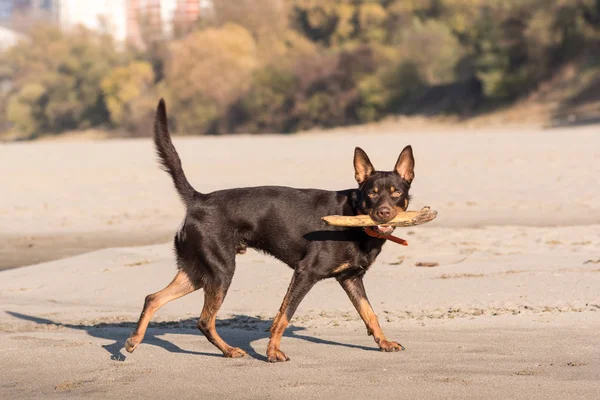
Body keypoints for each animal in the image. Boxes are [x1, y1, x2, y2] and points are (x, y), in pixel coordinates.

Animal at [124, 99, 414, 362]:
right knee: (204, 320)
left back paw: (134, 340)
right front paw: (272, 352)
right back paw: (229, 350)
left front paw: (385, 343)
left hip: (197, 272)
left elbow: (370, 313)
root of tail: (199, 199)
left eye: (396, 193)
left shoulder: (351, 279)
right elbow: (284, 315)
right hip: (220, 271)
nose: (383, 213)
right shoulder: (305, 273)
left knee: (153, 298)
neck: (355, 216)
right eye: (372, 194)